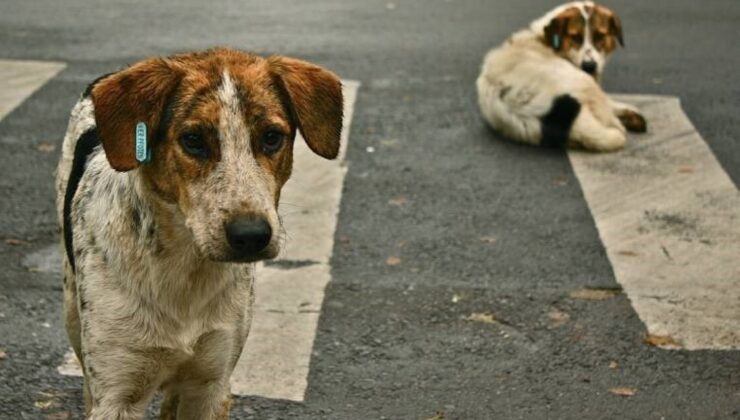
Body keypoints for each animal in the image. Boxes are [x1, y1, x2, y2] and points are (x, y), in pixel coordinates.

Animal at [55, 47, 344, 418]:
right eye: (192, 140)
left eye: (271, 137)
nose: (251, 235)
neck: (185, 268)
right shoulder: (118, 394)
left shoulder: (211, 383)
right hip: (72, 312)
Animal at [476, 1, 644, 153]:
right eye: (575, 37)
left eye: (599, 36)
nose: (589, 66)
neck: (544, 39)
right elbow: (609, 102)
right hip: (583, 82)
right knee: (609, 119)